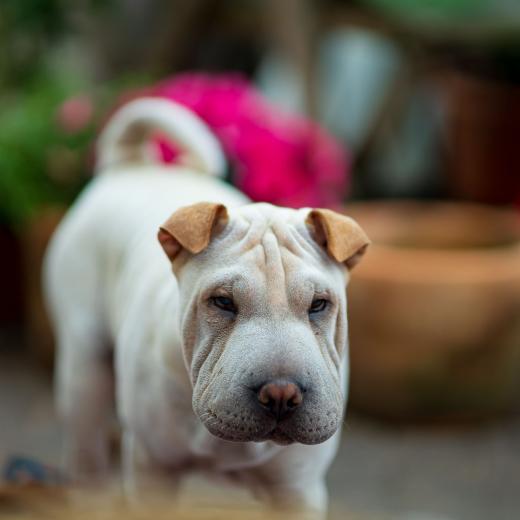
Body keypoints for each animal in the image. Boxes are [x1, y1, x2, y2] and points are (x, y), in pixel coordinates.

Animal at [44, 98, 369, 517]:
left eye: (319, 305)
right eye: (223, 302)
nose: (281, 394)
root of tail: (129, 165)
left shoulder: (297, 491)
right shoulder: (153, 472)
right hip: (83, 372)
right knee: (86, 453)